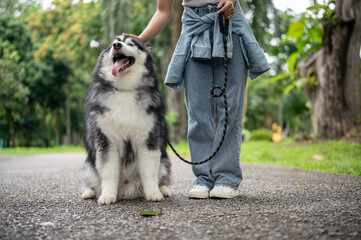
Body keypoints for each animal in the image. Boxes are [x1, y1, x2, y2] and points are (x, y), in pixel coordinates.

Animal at [81, 35, 172, 204]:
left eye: (130, 44)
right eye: (113, 43)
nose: (117, 45)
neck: (125, 89)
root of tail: (128, 189)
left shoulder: (149, 140)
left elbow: (150, 171)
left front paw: (154, 193)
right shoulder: (106, 141)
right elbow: (108, 172)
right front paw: (108, 195)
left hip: (165, 162)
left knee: (162, 176)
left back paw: (164, 189)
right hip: (89, 165)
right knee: (92, 181)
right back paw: (89, 192)